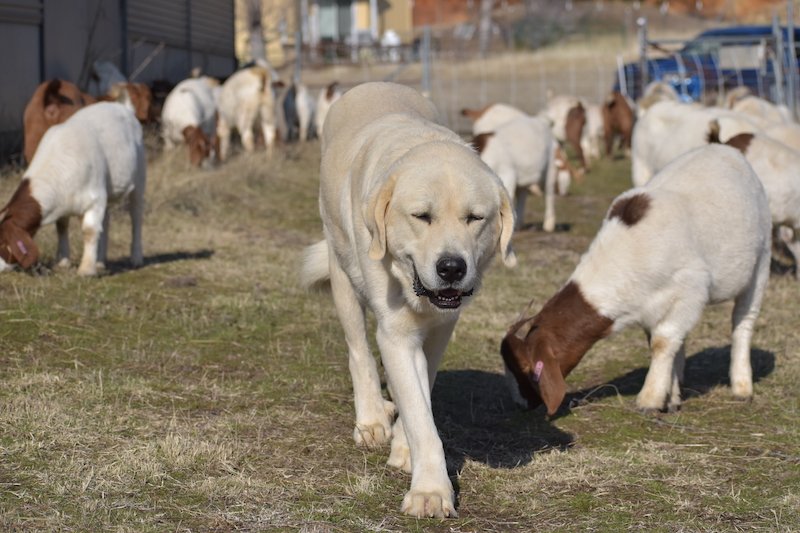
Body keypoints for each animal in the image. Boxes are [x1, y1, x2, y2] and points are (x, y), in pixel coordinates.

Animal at [0, 102, 145, 274]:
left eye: (1, 243)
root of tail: (120, 106)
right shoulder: (65, 203)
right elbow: (62, 228)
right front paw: (63, 262)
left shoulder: (95, 198)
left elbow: (90, 230)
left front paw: (86, 270)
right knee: (106, 220)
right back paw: (100, 261)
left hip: (139, 177)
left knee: (136, 215)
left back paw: (136, 258)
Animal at [304, 82, 516, 516]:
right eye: (422, 216)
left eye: (475, 218)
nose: (451, 268)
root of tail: (372, 84)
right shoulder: (396, 336)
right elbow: (420, 415)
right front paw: (430, 491)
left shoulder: (439, 331)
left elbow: (422, 394)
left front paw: (405, 449)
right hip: (342, 275)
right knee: (359, 351)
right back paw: (371, 417)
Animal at [504, 143, 772, 414]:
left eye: (526, 367)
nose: (520, 404)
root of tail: (725, 149)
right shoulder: (651, 305)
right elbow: (660, 341)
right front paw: (670, 397)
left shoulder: (689, 291)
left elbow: (662, 342)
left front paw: (650, 400)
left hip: (761, 260)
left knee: (743, 321)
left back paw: (742, 387)